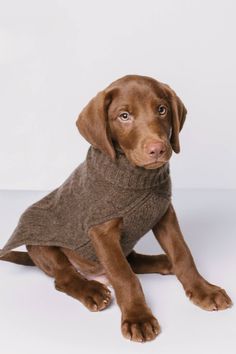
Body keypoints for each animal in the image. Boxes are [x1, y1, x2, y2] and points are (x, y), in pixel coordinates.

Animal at [0, 75, 232, 342]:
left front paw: (203, 290)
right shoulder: (102, 232)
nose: (157, 149)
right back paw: (91, 290)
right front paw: (138, 318)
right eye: (124, 116)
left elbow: (182, 254)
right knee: (65, 277)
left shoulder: (165, 214)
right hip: (41, 244)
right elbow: (123, 275)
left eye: (161, 110)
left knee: (135, 261)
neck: (135, 175)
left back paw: (165, 262)